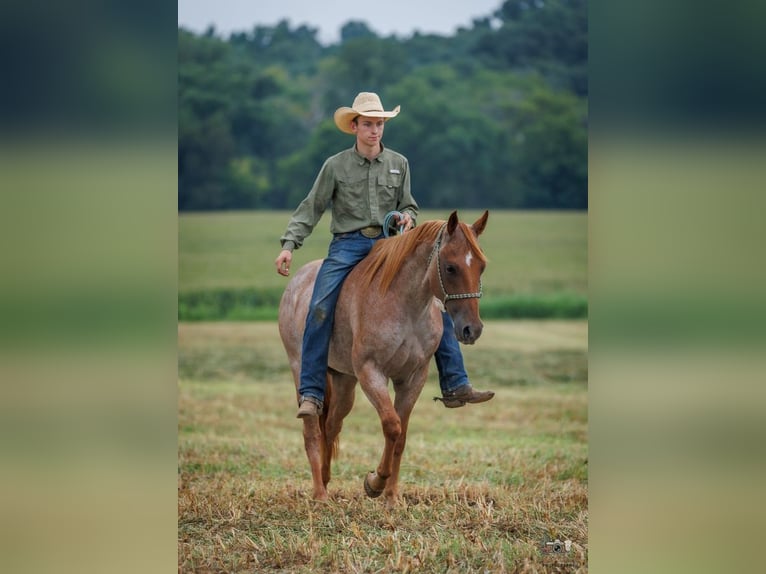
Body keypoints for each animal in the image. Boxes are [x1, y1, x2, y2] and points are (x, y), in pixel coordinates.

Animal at [278, 210, 489, 503]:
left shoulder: (412, 378)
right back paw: (320, 494)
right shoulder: (372, 372)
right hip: (300, 369)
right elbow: (392, 426)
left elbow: (401, 436)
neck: (405, 305)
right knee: (311, 430)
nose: (472, 329)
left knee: (331, 426)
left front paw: (391, 497)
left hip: (344, 381)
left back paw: (326, 479)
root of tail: (296, 283)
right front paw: (374, 483)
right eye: (450, 267)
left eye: (481, 266)